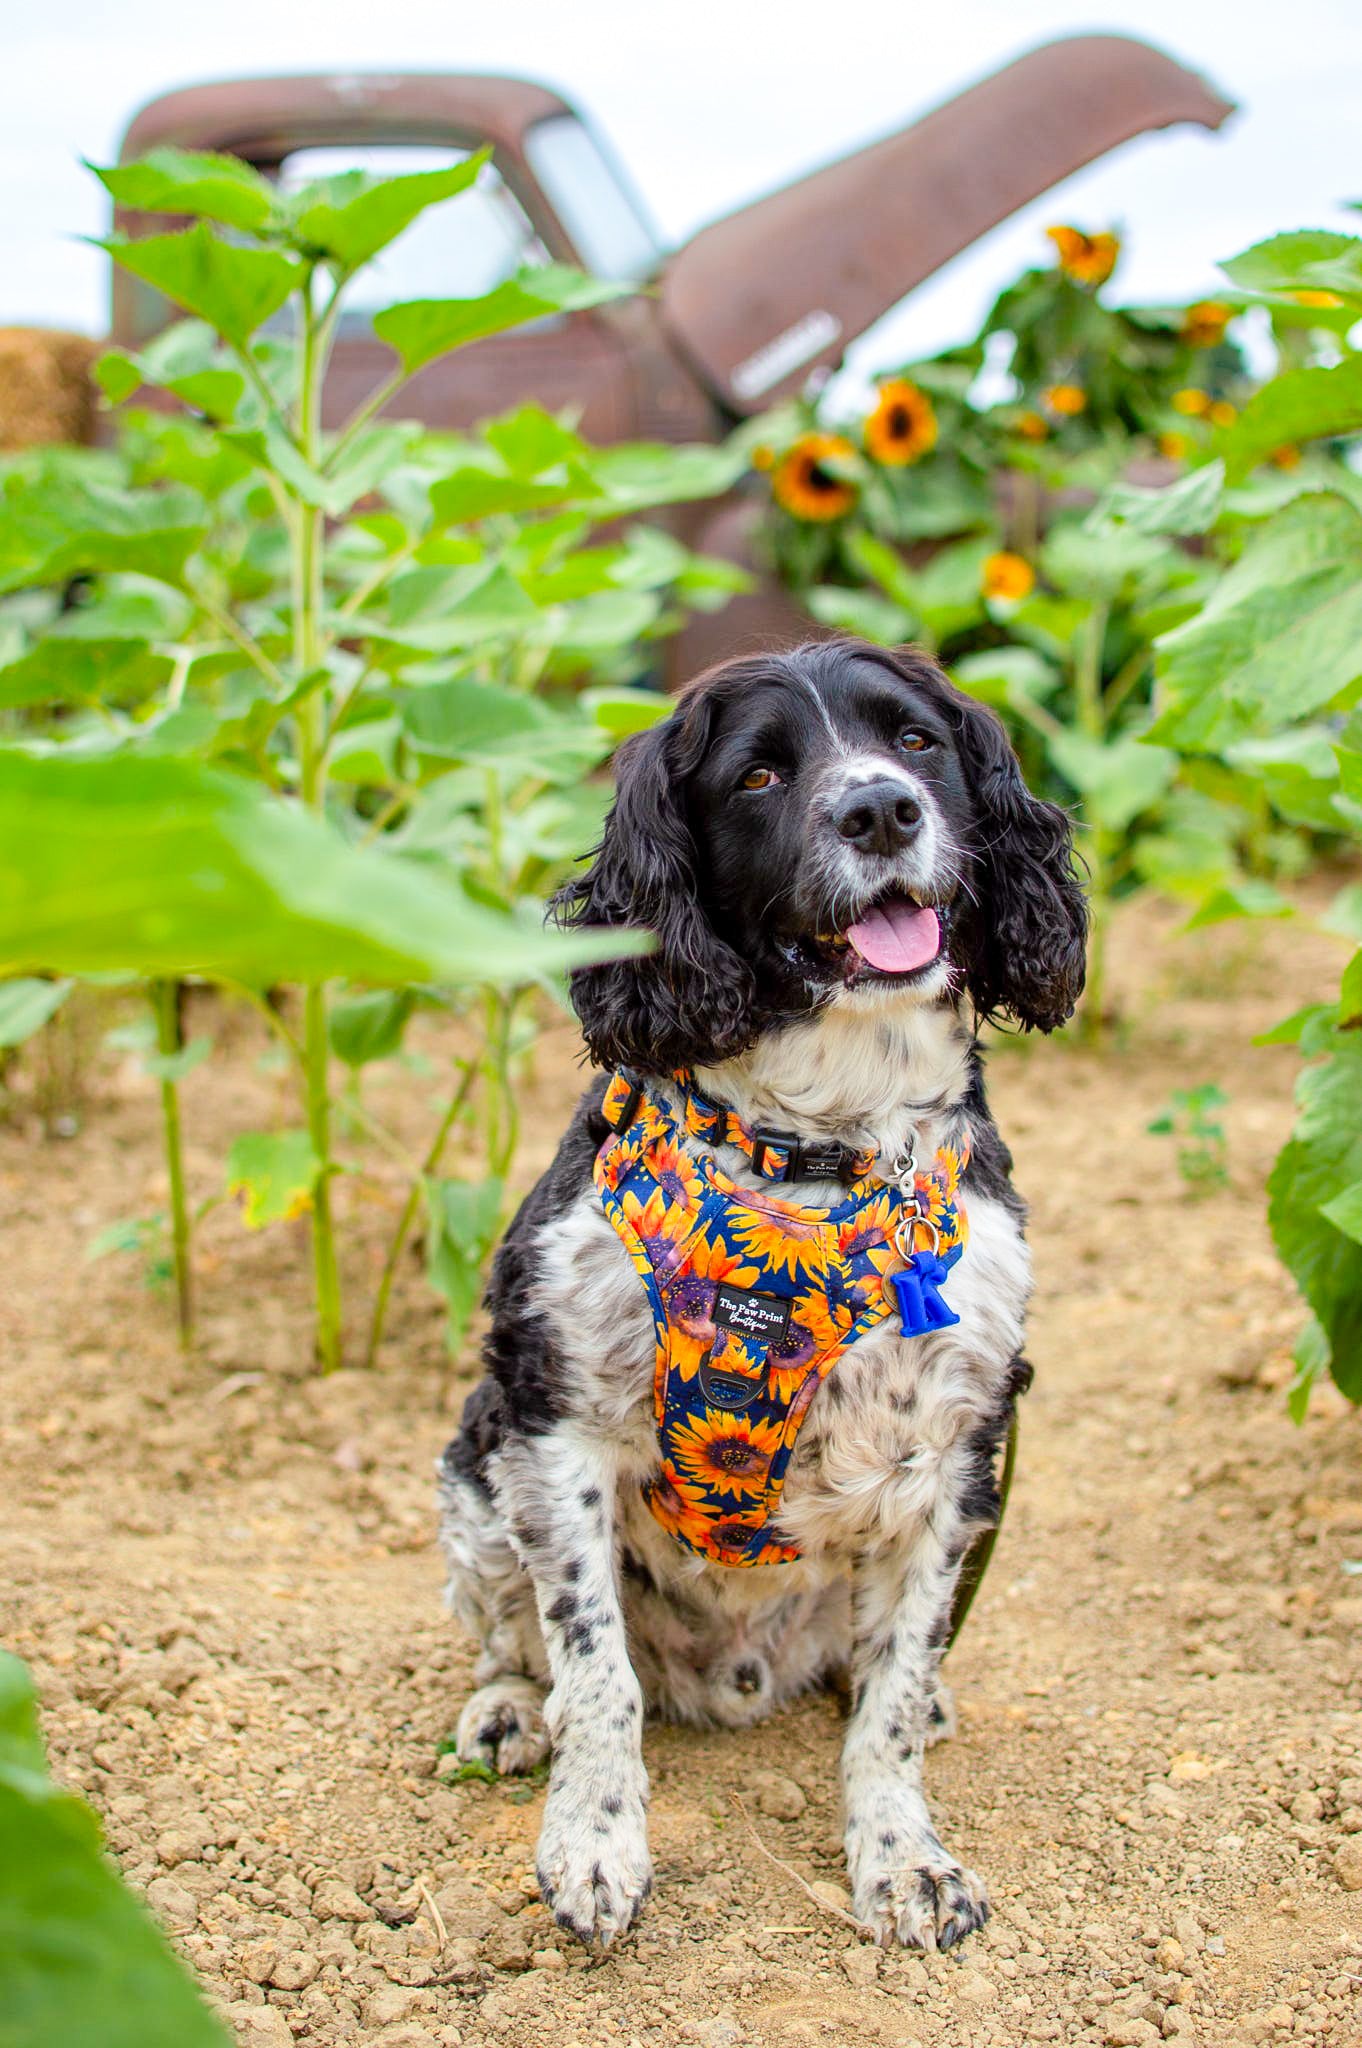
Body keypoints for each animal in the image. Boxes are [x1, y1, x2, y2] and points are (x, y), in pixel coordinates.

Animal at [436, 634, 1081, 1949]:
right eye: (759, 775)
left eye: (917, 740)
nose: (881, 807)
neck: (814, 1153)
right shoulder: (554, 1422)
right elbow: (594, 1668)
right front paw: (593, 1841)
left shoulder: (961, 1450)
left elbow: (890, 1702)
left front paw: (903, 1857)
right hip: (474, 1467)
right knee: (521, 1640)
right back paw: (506, 1710)